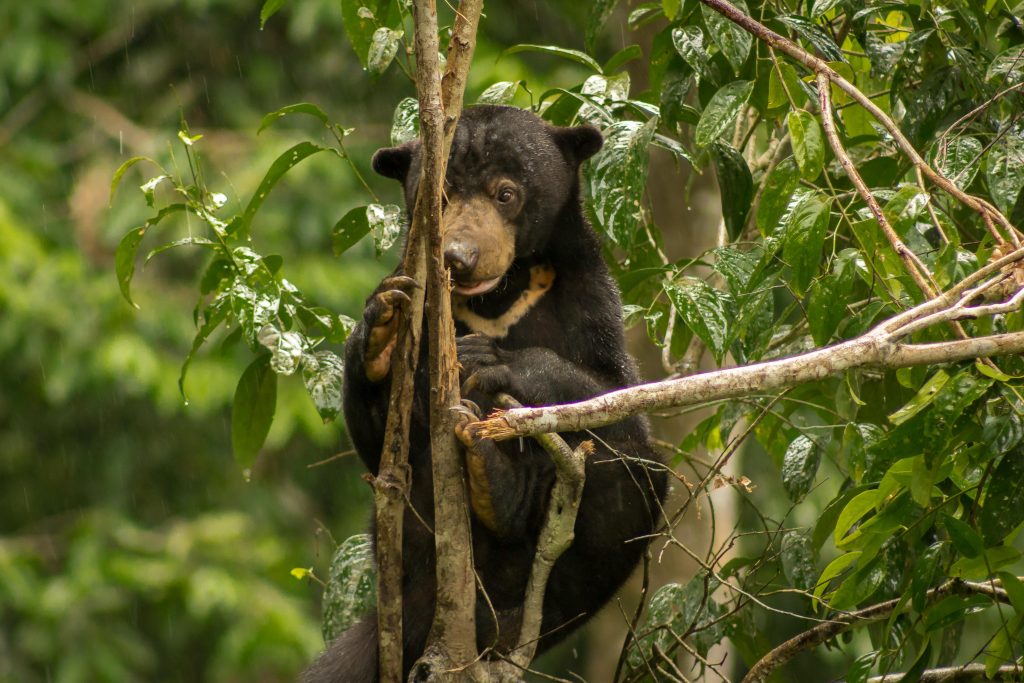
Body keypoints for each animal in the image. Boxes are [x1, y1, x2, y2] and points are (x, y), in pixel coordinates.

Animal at [303, 105, 668, 682]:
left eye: (506, 193)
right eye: (441, 196)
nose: (459, 257)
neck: (497, 299)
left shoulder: (588, 297)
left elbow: (619, 397)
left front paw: (489, 360)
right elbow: (382, 445)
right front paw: (382, 328)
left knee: (633, 471)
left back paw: (501, 506)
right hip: (409, 555)